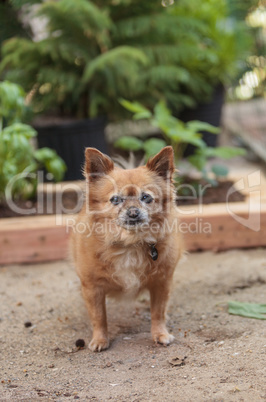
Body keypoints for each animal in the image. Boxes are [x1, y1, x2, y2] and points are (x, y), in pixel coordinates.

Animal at [70, 146, 183, 350]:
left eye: (146, 197)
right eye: (115, 199)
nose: (133, 212)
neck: (130, 243)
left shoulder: (162, 283)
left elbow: (158, 312)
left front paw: (160, 333)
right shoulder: (92, 287)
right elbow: (99, 316)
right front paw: (100, 339)